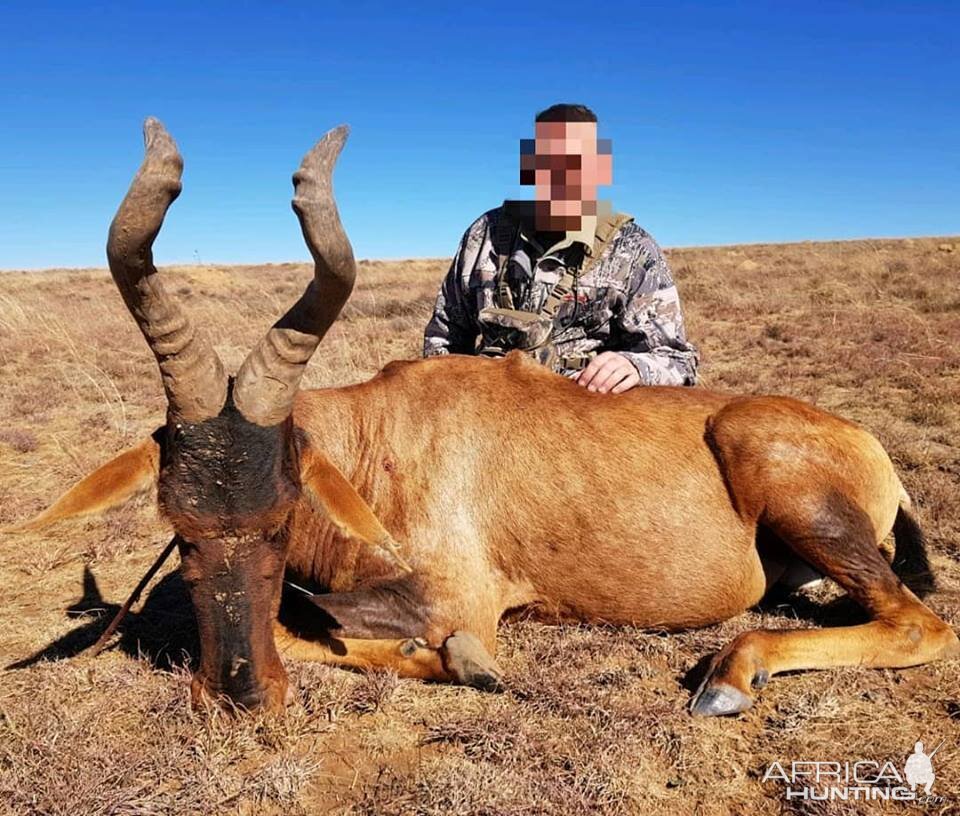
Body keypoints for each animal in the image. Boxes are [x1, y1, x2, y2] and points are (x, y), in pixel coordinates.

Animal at [5, 118, 952, 716]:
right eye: (178, 523)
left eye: (282, 516)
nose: (238, 700)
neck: (382, 440)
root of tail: (867, 444)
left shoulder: (459, 596)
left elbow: (320, 622)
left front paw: (464, 665)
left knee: (922, 622)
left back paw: (726, 677)